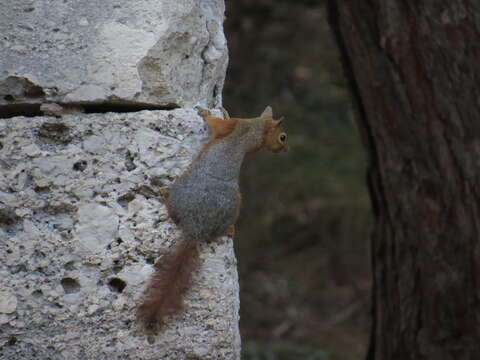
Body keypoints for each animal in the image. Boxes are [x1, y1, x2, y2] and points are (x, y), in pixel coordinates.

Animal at [137, 105, 288, 332]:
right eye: (282, 137)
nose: (285, 150)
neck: (258, 127)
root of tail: (196, 227)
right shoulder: (238, 126)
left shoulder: (231, 126)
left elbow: (214, 123)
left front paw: (206, 112)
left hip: (189, 186)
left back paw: (163, 194)